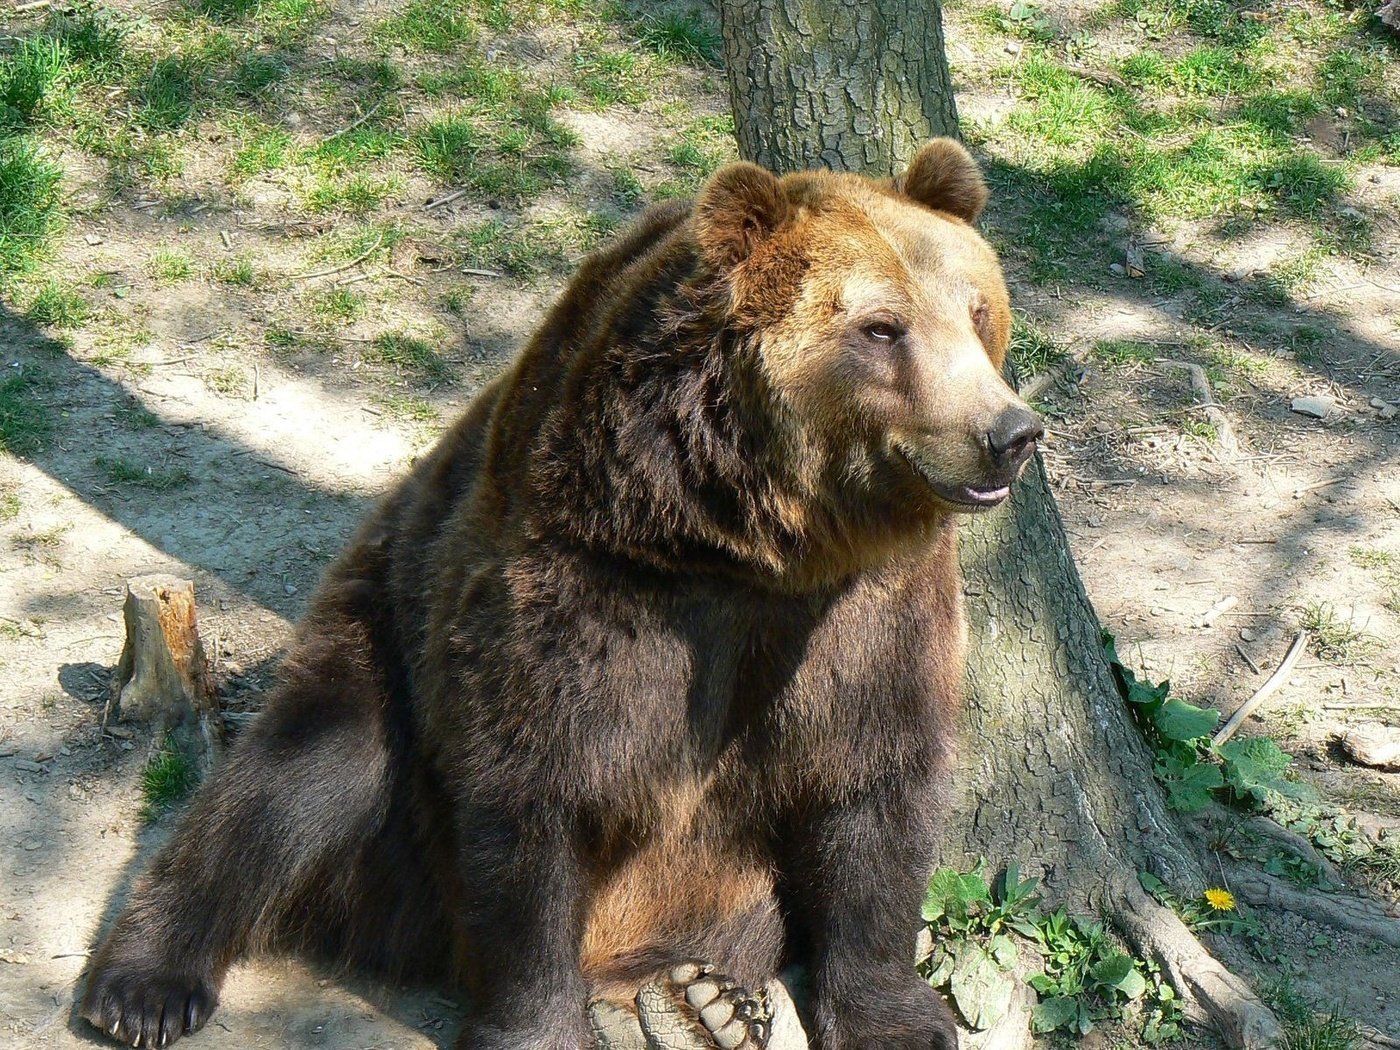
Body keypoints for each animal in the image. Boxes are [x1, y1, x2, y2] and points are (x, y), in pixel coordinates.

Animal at [76, 137, 1041, 1050]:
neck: (752, 539)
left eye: (977, 311)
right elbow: (536, 785)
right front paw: (536, 1026)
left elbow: (874, 788)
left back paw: (699, 1003)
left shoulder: (864, 612)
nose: (1009, 431)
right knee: (295, 774)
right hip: (383, 637)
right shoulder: (592, 580)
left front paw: (897, 1016)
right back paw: (140, 984)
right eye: (882, 328)